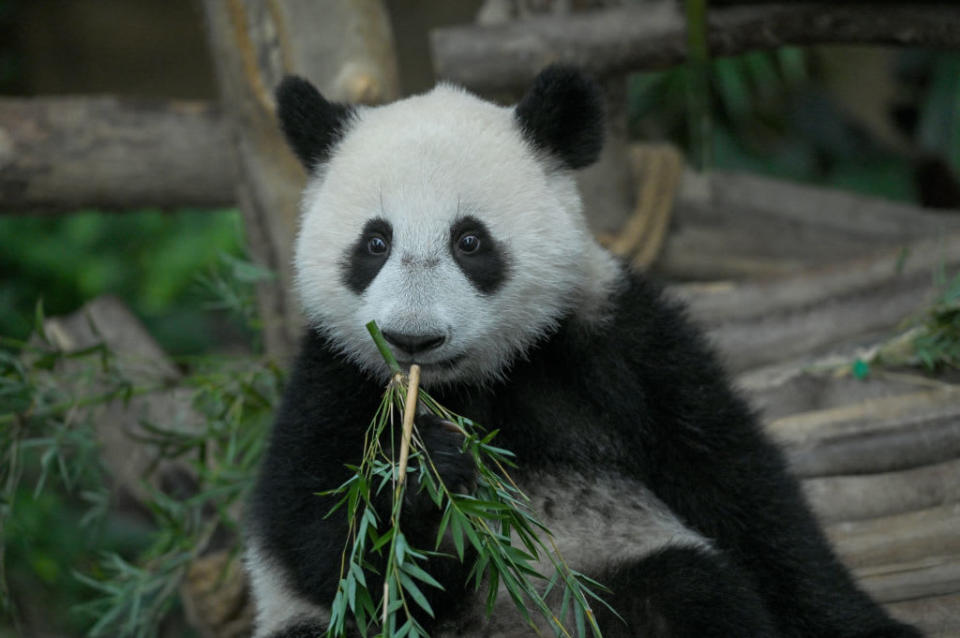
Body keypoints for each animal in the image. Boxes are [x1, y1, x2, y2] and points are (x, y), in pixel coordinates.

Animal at [244, 65, 920, 638]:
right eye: (375, 242)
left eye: (470, 241)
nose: (414, 338)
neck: (462, 385)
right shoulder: (335, 377)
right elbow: (324, 542)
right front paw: (420, 471)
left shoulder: (609, 340)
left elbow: (737, 485)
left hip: (614, 565)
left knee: (688, 593)